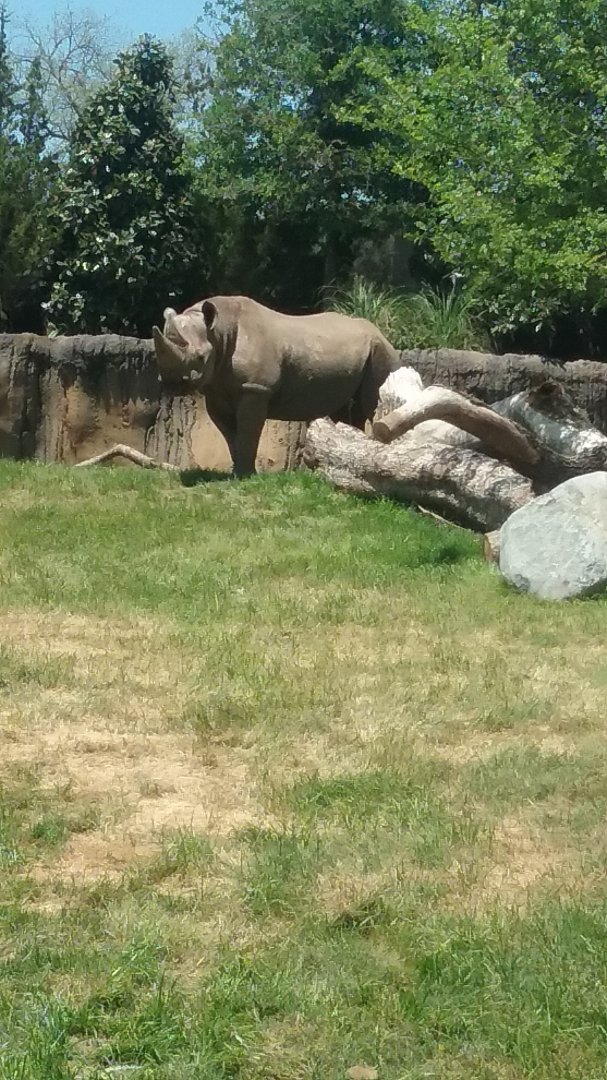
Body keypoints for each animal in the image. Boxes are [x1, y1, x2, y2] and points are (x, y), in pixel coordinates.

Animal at [152, 295, 401, 477]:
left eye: (201, 357)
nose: (171, 384)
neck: (219, 331)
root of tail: (380, 331)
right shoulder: (216, 390)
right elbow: (230, 435)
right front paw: (235, 472)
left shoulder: (255, 389)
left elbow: (247, 432)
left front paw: (246, 476)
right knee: (347, 411)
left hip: (381, 350)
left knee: (371, 404)